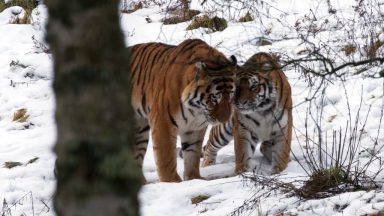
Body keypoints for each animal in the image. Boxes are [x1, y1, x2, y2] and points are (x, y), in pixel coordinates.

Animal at [129, 38, 237, 182]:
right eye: (214, 98)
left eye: (231, 96)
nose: (224, 120)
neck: (196, 110)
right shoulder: (162, 121)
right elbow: (166, 156)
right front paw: (171, 181)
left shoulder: (195, 128)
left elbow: (192, 154)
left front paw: (194, 179)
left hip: (139, 129)